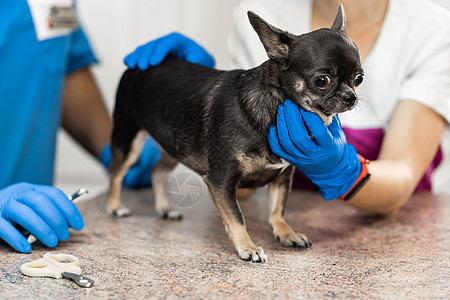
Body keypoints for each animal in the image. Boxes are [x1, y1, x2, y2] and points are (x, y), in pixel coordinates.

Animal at [107, 5, 364, 262]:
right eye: (322, 80)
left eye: (359, 78)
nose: (350, 97)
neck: (273, 107)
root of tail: (137, 66)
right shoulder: (220, 181)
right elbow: (237, 217)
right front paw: (248, 246)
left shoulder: (282, 177)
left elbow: (277, 210)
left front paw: (286, 233)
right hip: (129, 140)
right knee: (116, 172)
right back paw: (114, 205)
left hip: (175, 144)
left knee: (157, 171)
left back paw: (164, 208)